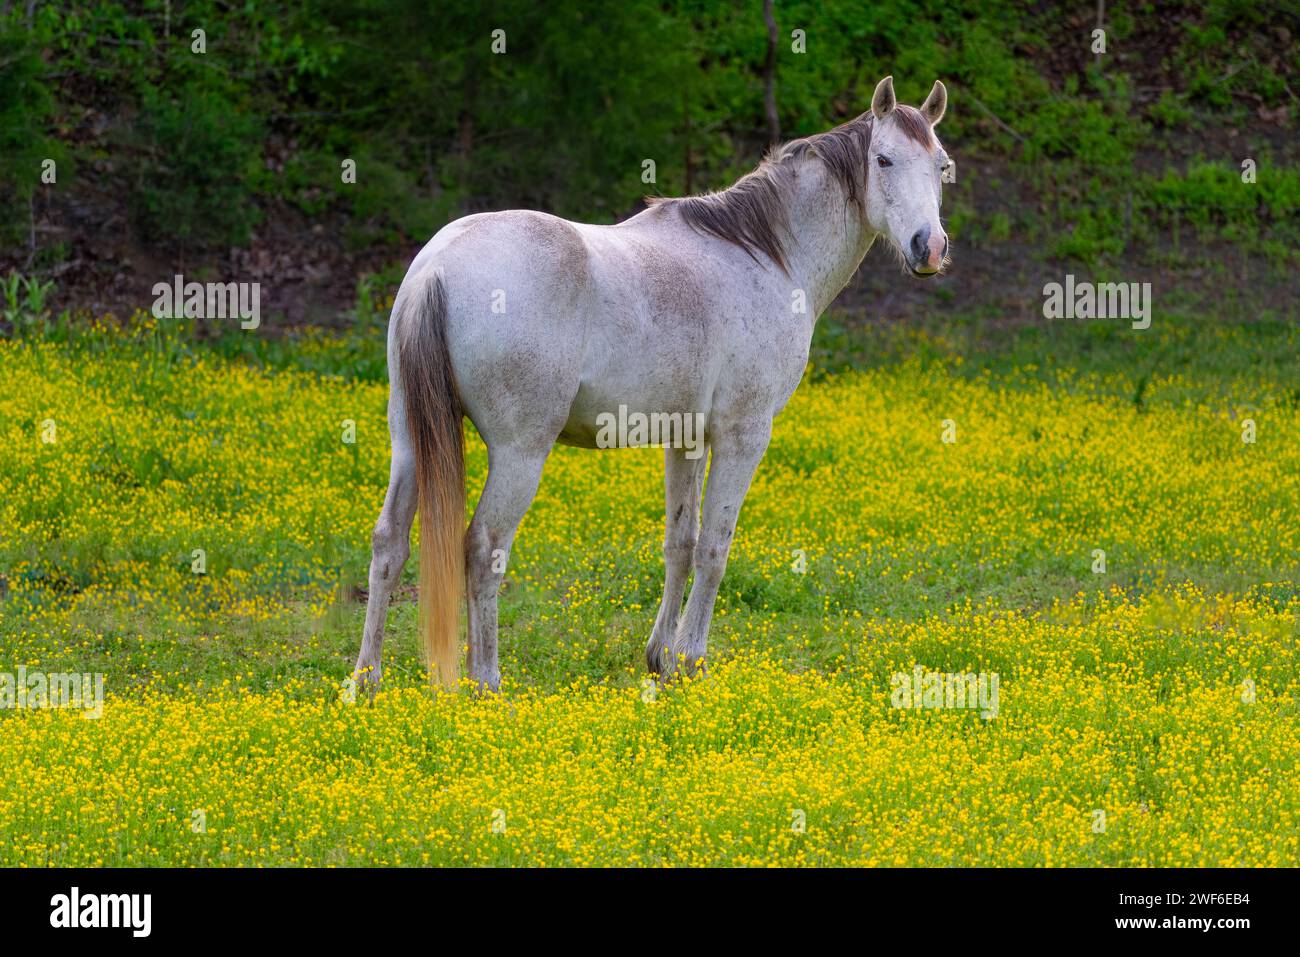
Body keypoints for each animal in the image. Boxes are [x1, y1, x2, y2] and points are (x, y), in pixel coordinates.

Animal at [353, 75, 952, 692]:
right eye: (883, 159)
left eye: (942, 167)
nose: (929, 248)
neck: (768, 255)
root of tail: (438, 268)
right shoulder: (743, 436)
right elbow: (714, 547)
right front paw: (691, 659)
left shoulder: (686, 438)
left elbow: (680, 545)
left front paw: (661, 659)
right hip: (520, 453)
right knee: (483, 547)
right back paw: (487, 684)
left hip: (408, 442)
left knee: (389, 542)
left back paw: (367, 681)